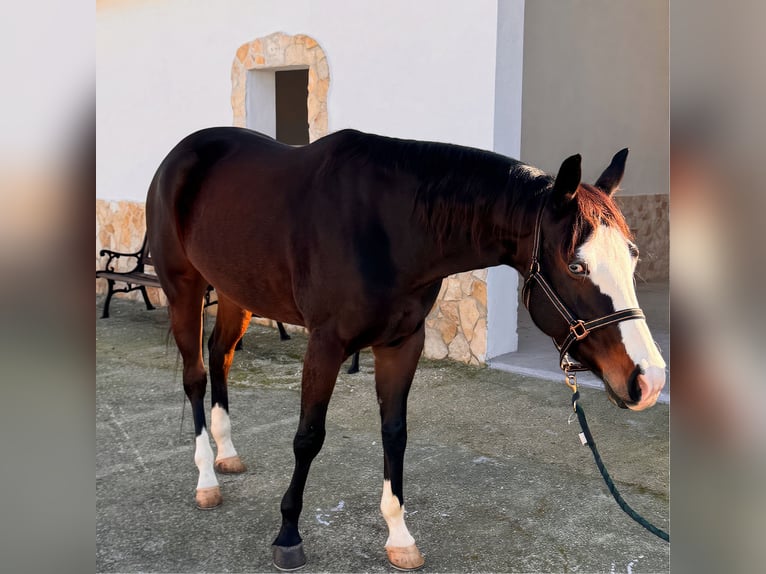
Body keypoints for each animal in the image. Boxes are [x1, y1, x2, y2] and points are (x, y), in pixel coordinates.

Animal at [145, 127, 666, 571]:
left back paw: (226, 453)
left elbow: (395, 433)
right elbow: (308, 436)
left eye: (633, 257)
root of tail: (182, 153)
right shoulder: (326, 343)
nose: (650, 380)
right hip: (184, 288)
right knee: (195, 375)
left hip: (236, 291)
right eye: (576, 266)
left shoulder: (402, 342)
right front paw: (288, 534)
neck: (389, 228)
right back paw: (206, 480)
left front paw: (399, 538)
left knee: (220, 356)